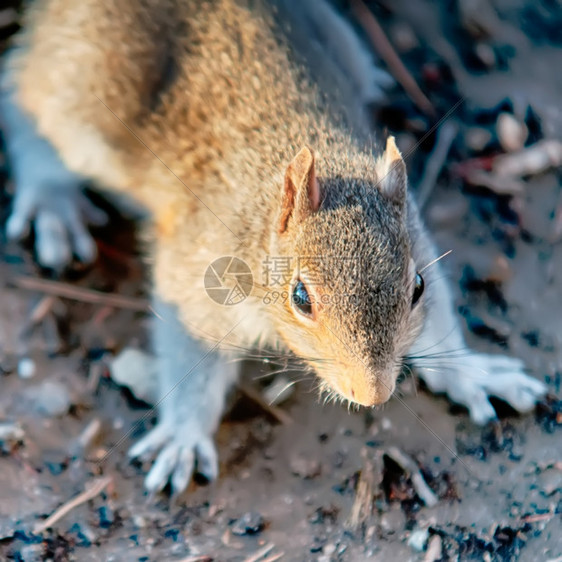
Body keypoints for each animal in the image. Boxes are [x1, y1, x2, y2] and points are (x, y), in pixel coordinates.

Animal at [0, 0, 544, 492]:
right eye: (301, 297)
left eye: (417, 288)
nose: (373, 394)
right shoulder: (197, 276)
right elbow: (189, 357)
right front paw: (183, 436)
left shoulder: (419, 236)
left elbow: (441, 322)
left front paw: (471, 371)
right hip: (85, 89)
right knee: (25, 99)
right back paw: (52, 199)